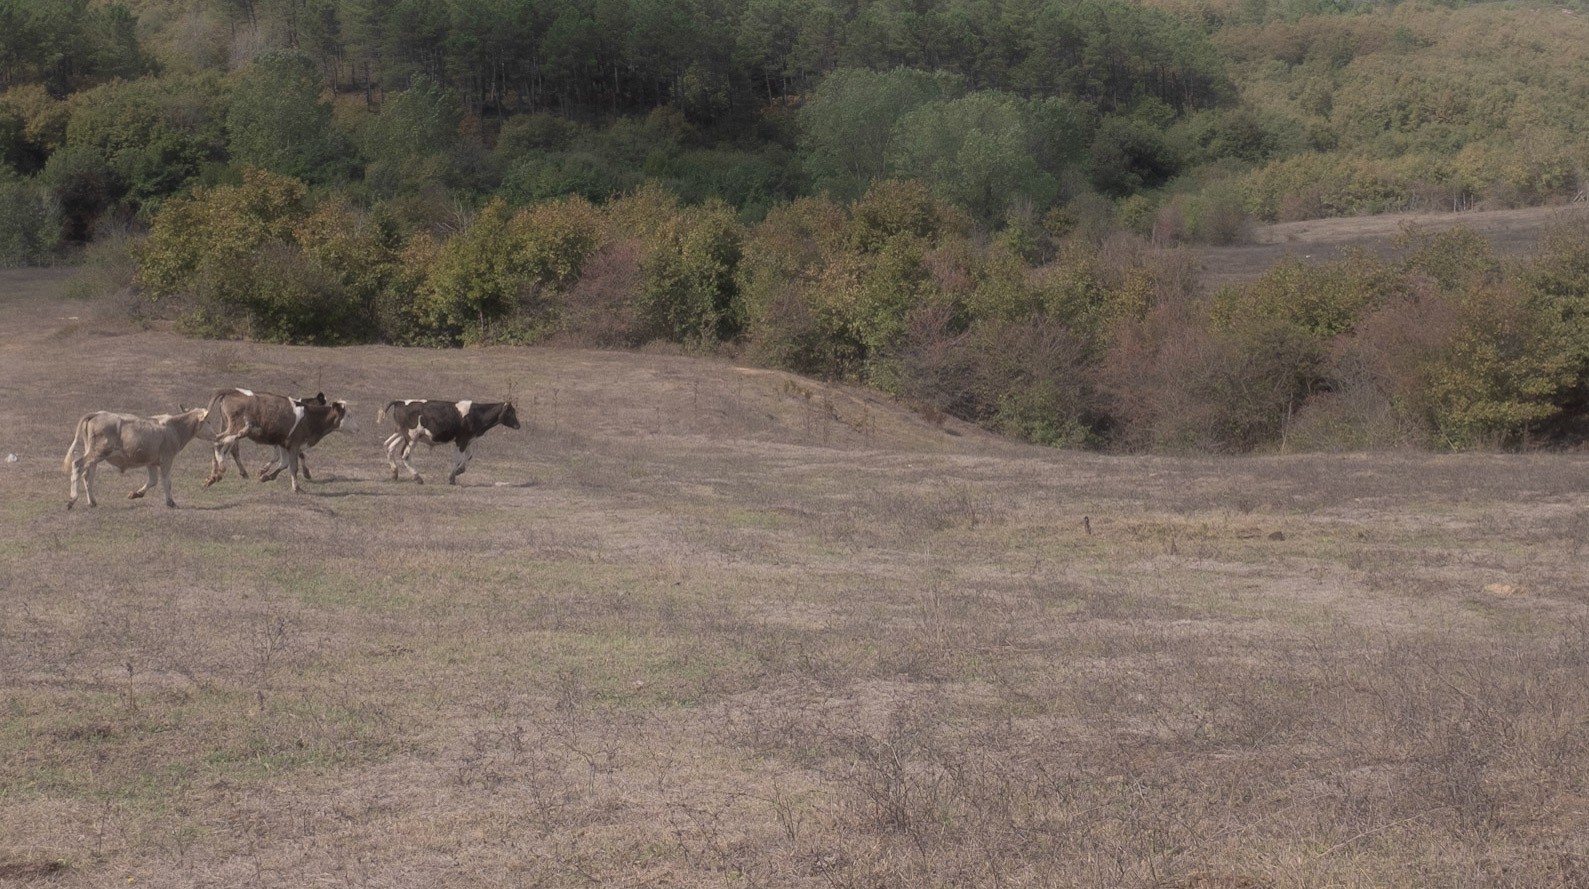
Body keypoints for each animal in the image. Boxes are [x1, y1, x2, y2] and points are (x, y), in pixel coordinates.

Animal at [63, 406, 212, 509]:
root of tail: (98, 414)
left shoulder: (151, 462)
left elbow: (153, 480)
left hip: (94, 454)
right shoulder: (167, 459)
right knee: (77, 465)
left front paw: (135, 494)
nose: (215, 435)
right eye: (209, 421)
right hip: (98, 452)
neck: (174, 427)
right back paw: (72, 499)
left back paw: (92, 502)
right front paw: (171, 502)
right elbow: (166, 482)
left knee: (88, 475)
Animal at [205, 389, 358, 493]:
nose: (358, 427)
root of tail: (232, 391)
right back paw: (220, 472)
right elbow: (293, 465)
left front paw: (266, 476)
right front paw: (296, 487)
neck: (310, 417)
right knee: (219, 443)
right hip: (236, 429)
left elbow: (283, 463)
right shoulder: (294, 444)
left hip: (228, 426)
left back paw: (214, 476)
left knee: (221, 445)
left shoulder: (283, 444)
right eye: (349, 415)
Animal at [378, 399, 520, 485]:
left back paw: (394, 473)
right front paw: (452, 477)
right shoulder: (461, 439)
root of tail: (400, 402)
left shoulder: (467, 440)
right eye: (511, 412)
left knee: (388, 446)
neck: (475, 414)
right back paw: (417, 477)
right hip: (412, 436)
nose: (518, 425)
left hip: (401, 433)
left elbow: (469, 455)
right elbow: (457, 458)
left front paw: (459, 470)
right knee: (405, 455)